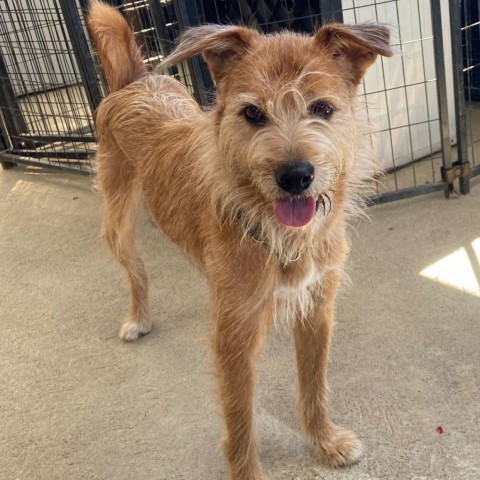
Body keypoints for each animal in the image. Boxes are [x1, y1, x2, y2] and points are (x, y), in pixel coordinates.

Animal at [88, 1, 392, 478]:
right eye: (252, 113)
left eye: (323, 108)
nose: (295, 176)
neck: (280, 236)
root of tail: (135, 79)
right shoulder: (235, 340)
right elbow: (240, 420)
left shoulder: (317, 312)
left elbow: (314, 386)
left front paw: (324, 442)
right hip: (117, 220)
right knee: (136, 272)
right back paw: (138, 317)